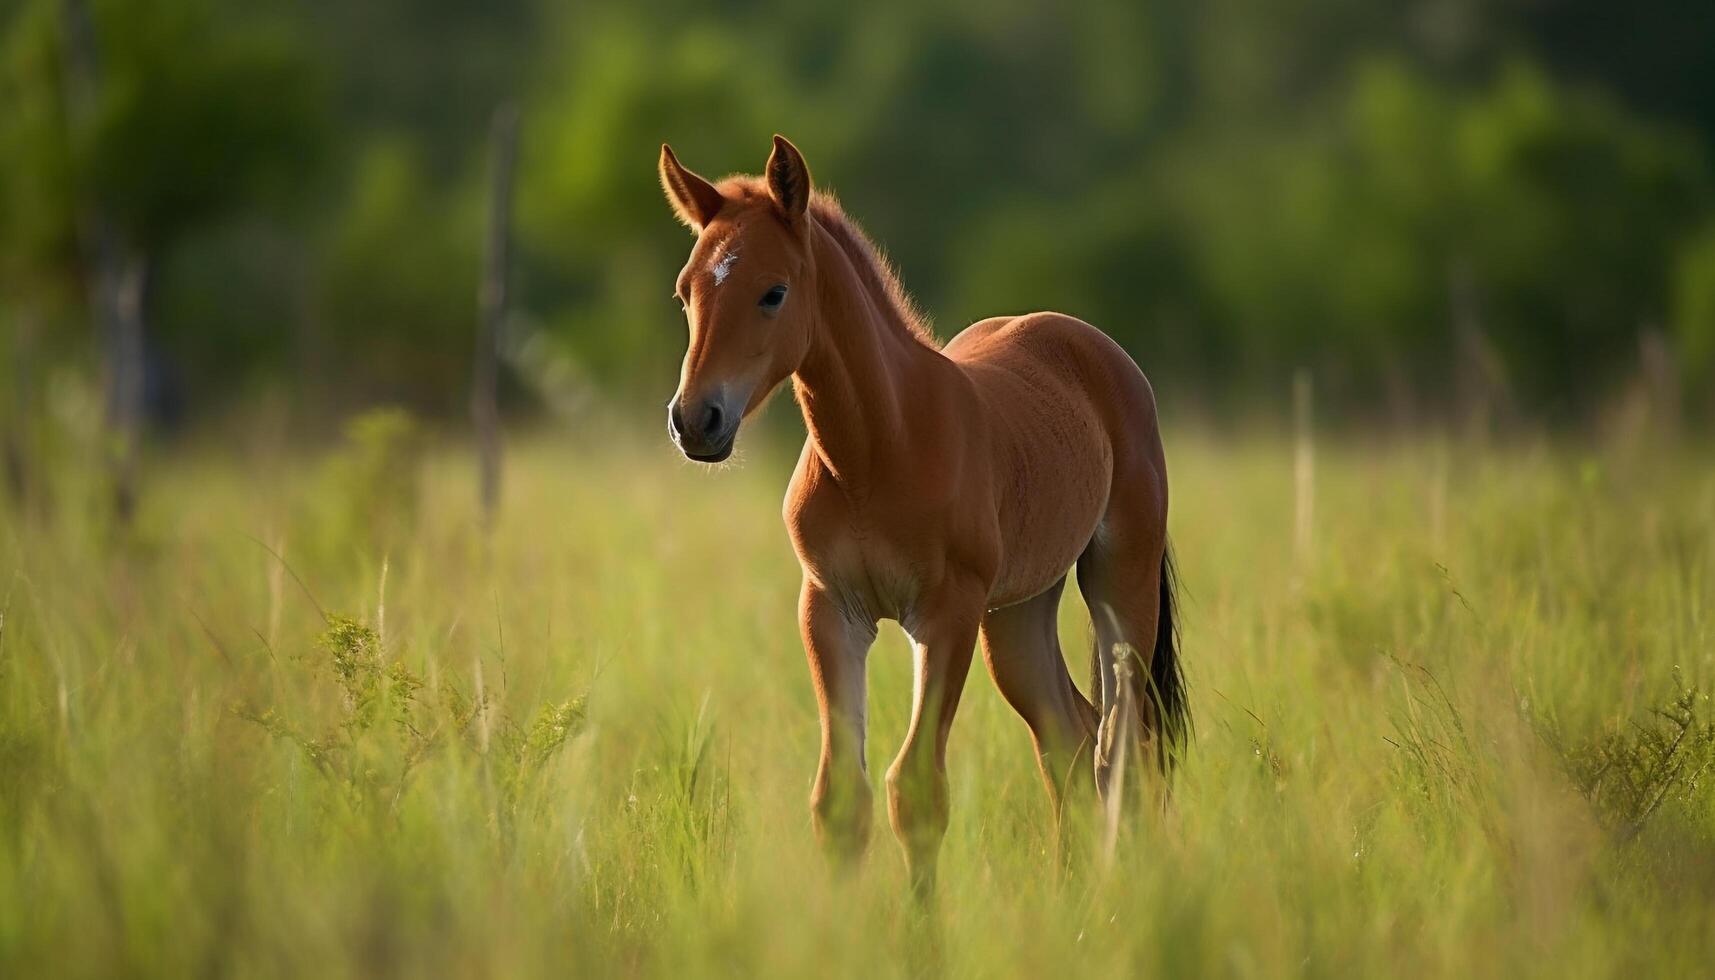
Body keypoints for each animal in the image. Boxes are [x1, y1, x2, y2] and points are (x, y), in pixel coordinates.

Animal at [658, 133, 1193, 892]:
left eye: (773, 292)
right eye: (686, 293)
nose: (695, 421)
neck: (877, 451)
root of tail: (1097, 348)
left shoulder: (945, 613)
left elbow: (915, 789)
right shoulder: (829, 609)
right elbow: (839, 797)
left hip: (1119, 581)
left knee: (1124, 745)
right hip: (1017, 614)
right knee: (1069, 738)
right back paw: (1069, 893)